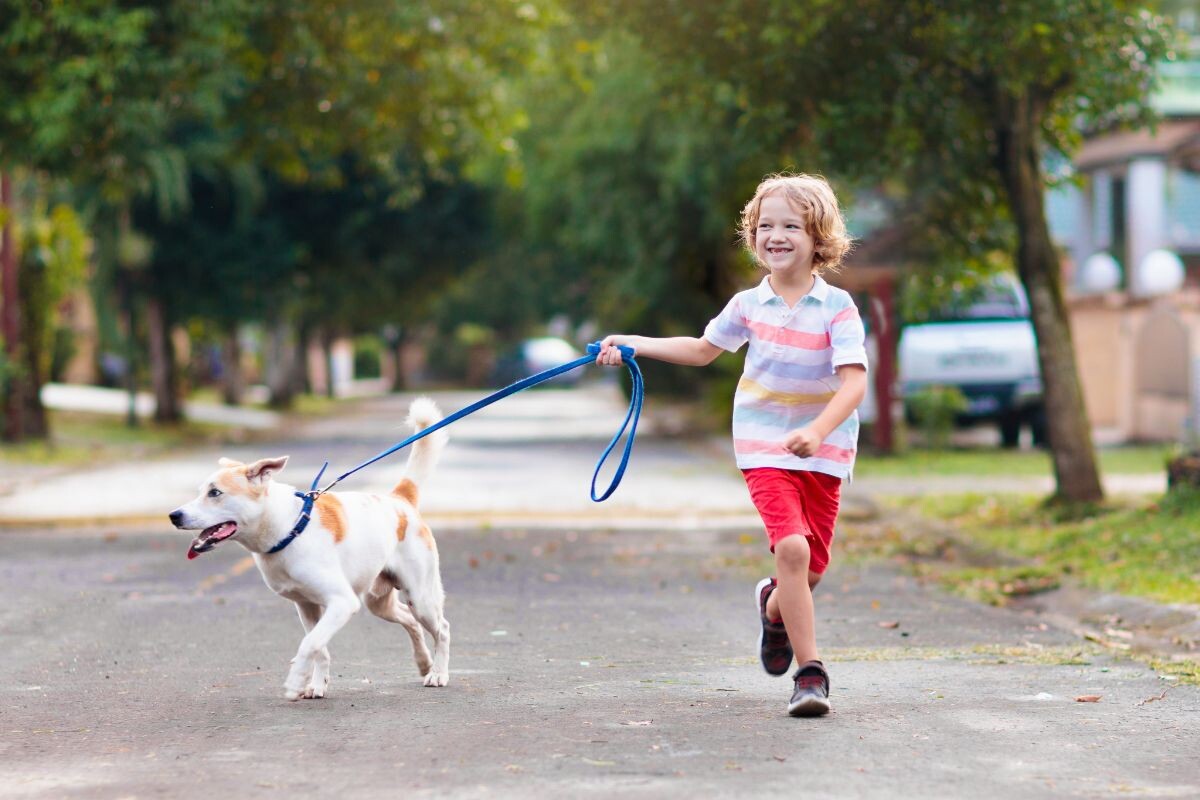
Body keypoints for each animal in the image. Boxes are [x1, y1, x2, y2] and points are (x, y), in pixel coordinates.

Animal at [169, 398, 451, 695]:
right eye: (201, 492)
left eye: (215, 493)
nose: (174, 516)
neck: (289, 529)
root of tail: (400, 500)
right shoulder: (306, 606)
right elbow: (319, 647)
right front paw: (315, 685)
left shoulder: (342, 602)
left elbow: (310, 643)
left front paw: (295, 681)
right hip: (378, 602)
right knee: (411, 622)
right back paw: (423, 663)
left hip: (420, 597)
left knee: (442, 628)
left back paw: (438, 673)